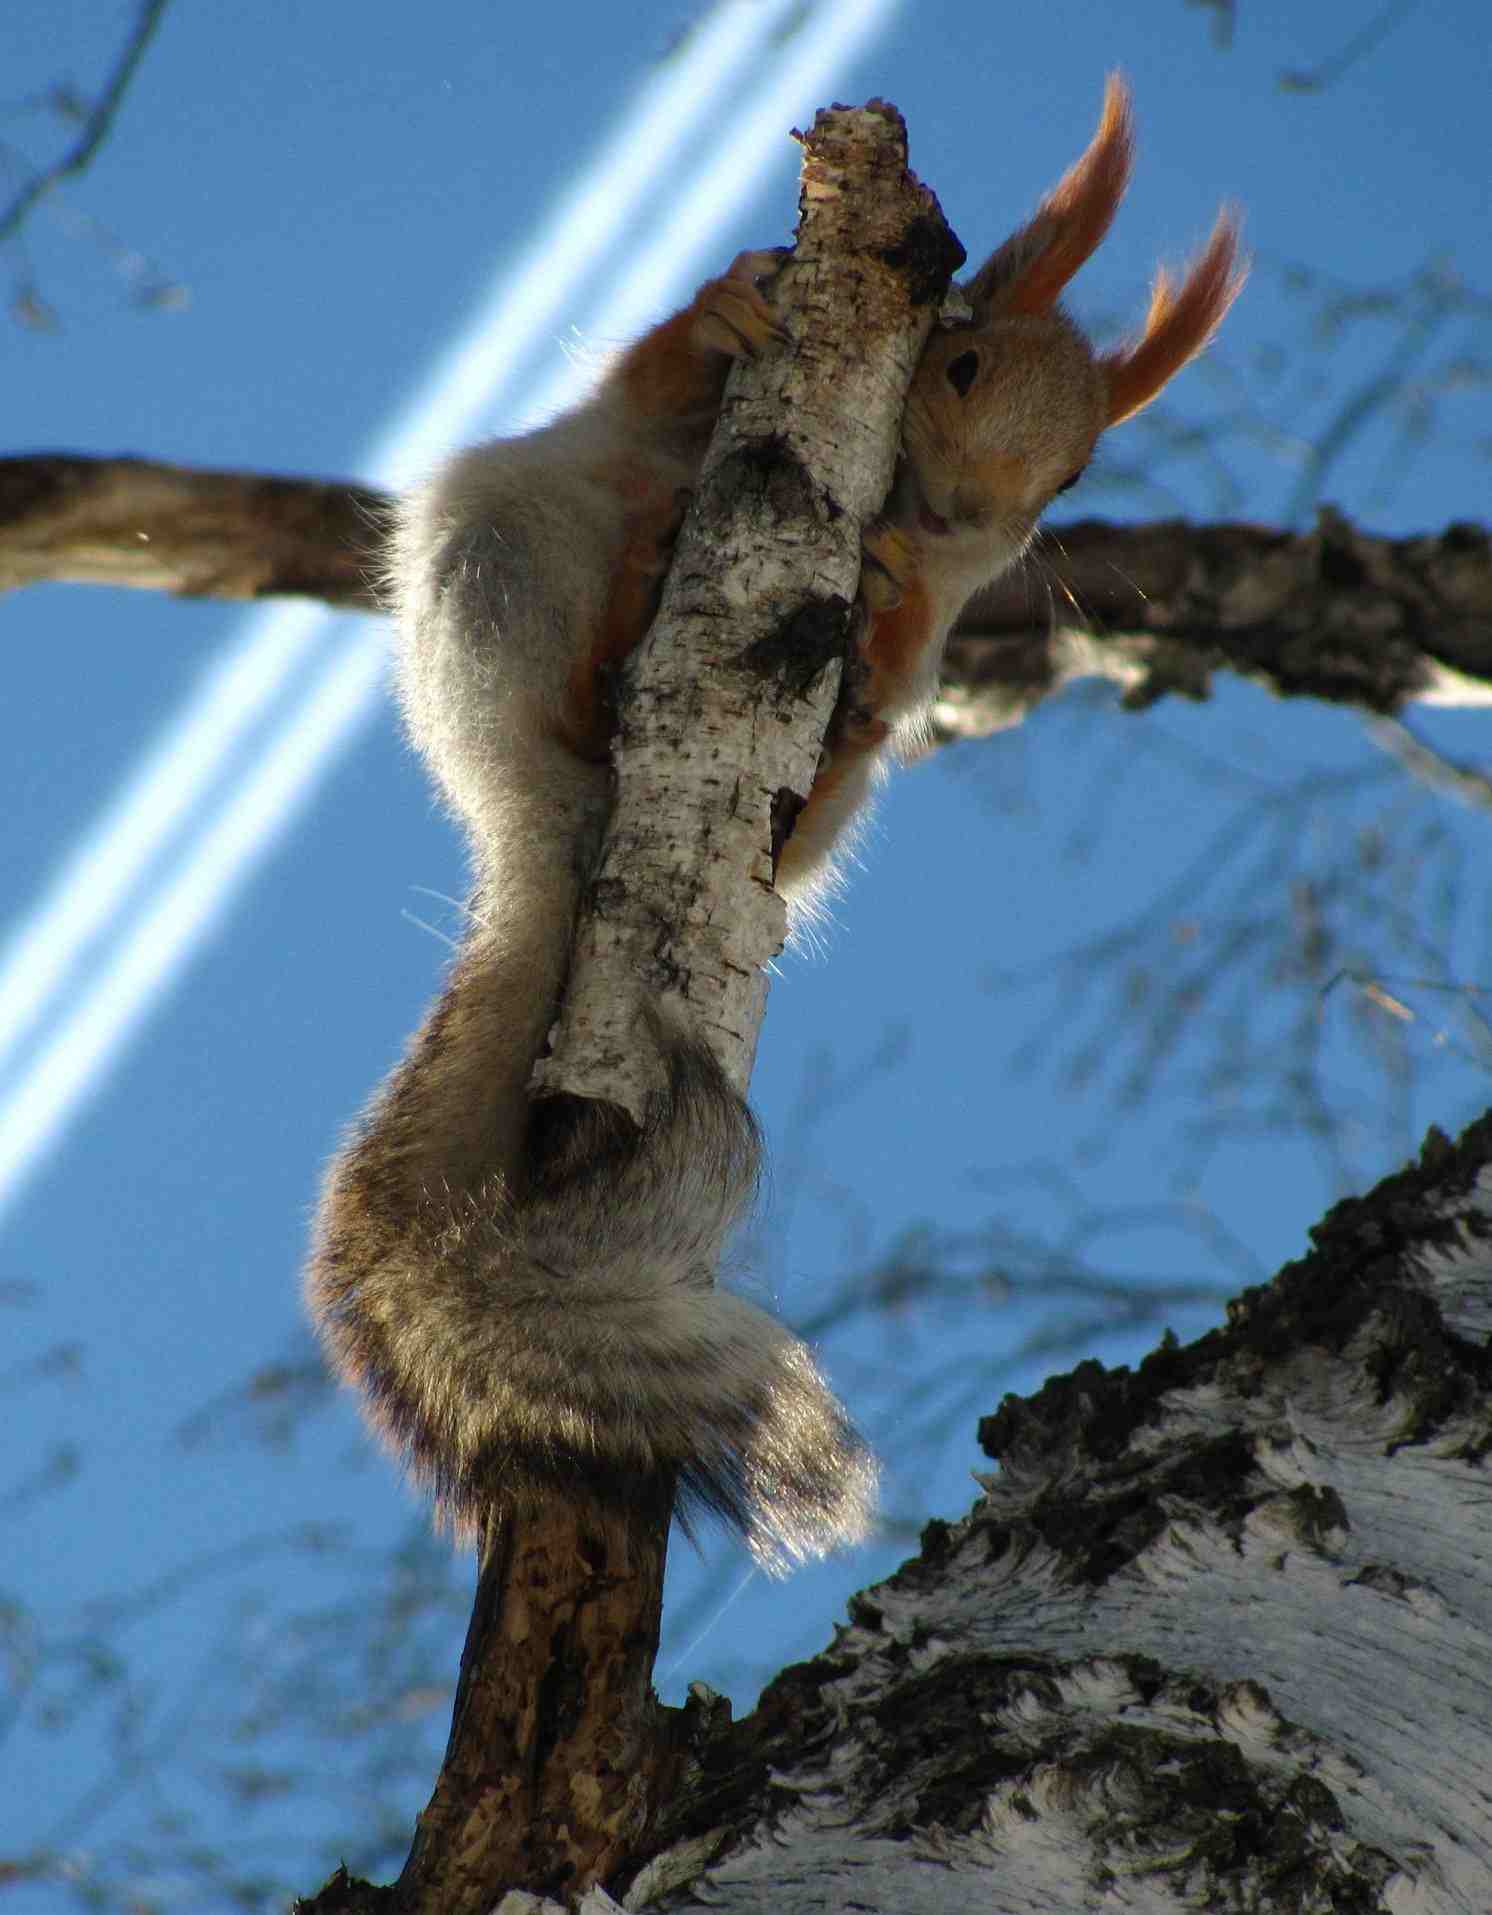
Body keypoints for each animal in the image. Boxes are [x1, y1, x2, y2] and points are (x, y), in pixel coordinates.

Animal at [306, 78, 1248, 1570]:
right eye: (958, 363)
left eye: (1073, 474)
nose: (968, 514)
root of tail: (529, 818)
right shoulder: (644, 411)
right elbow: (654, 376)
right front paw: (731, 306)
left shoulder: (938, 641)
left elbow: (906, 647)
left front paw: (898, 591)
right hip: (496, 553)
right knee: (553, 656)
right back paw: (612, 617)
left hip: (818, 812)